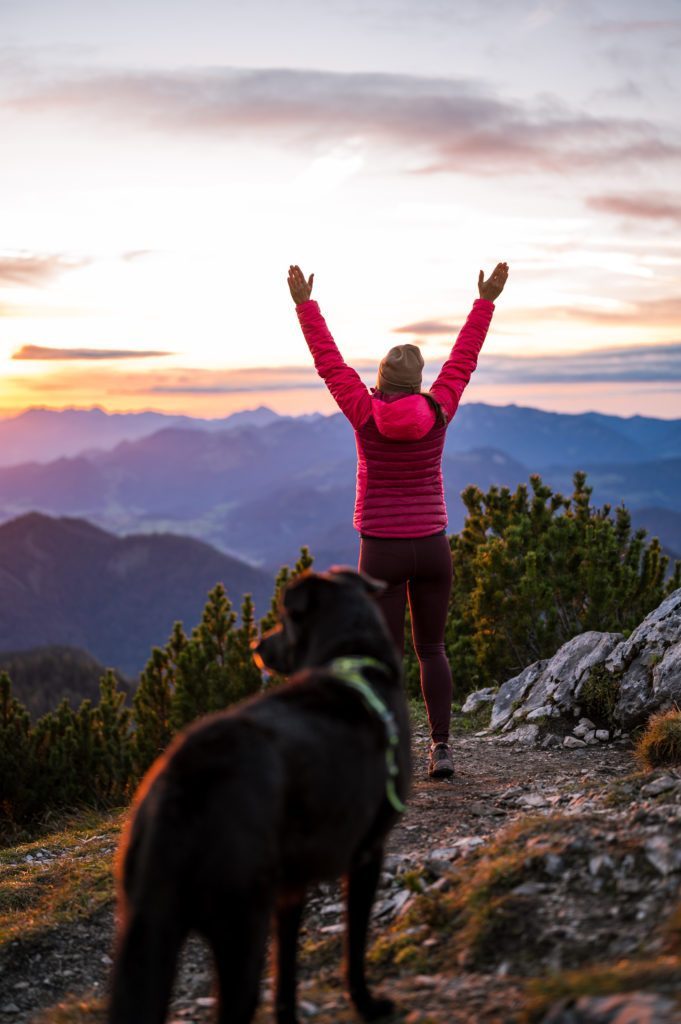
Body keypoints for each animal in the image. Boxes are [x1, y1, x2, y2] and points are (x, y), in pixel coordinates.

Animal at [109, 569, 411, 1024]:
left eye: (284, 621)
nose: (256, 645)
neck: (352, 655)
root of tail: (184, 782)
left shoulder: (289, 890)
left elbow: (286, 968)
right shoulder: (367, 852)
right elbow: (354, 945)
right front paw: (367, 1003)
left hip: (148, 931)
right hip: (240, 926)